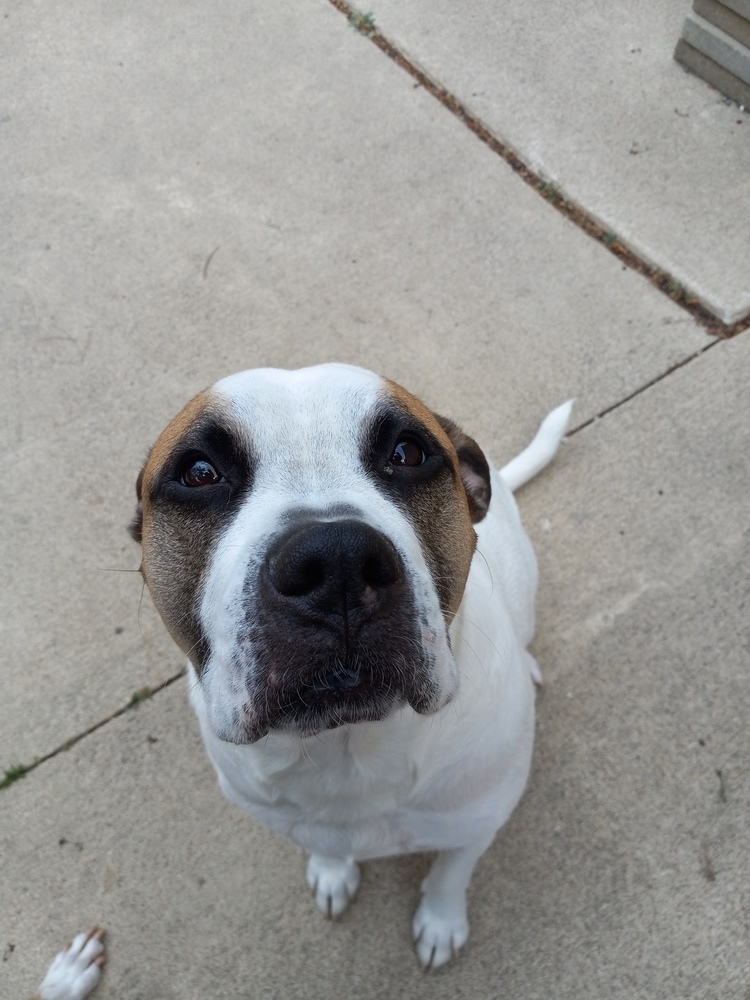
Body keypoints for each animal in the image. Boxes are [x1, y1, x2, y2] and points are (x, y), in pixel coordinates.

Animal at [131, 368, 576, 968]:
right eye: (199, 472)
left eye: (408, 452)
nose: (336, 559)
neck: (349, 746)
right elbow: (322, 843)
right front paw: (333, 871)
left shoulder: (477, 822)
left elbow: (450, 873)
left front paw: (441, 921)